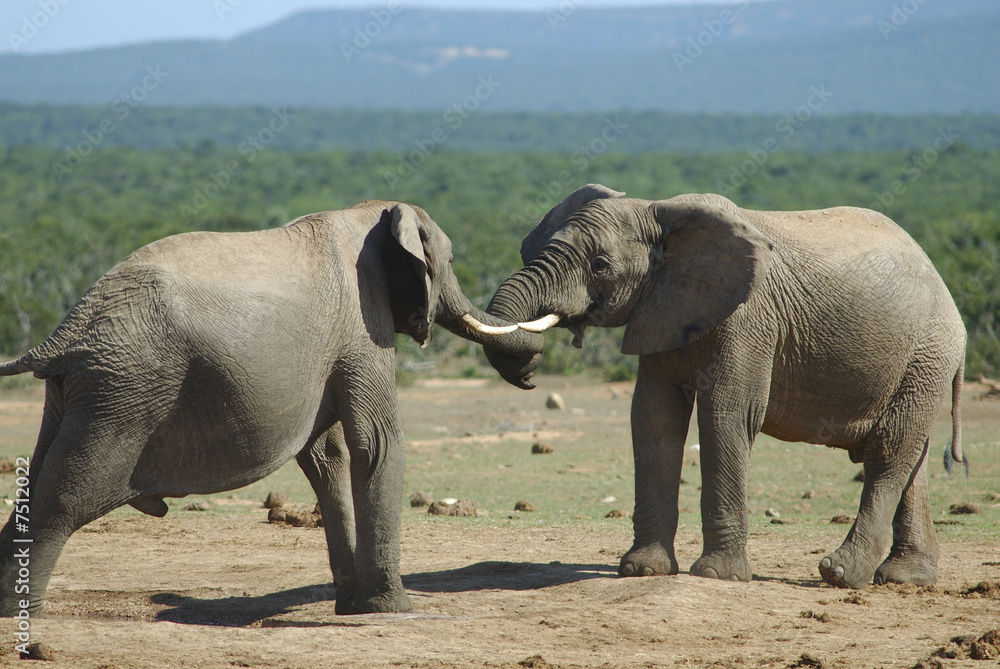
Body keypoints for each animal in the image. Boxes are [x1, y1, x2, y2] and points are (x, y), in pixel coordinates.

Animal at [0, 200, 544, 616]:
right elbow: (377, 442)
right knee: (64, 496)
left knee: (36, 481)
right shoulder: (363, 327)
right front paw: (394, 609)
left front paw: (353, 607)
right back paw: (26, 615)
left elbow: (326, 457)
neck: (371, 214)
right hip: (124, 388)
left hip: (79, 391)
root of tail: (66, 330)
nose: (530, 374)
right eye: (448, 261)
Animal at [483, 184, 966, 589]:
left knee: (889, 452)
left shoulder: (748, 318)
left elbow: (726, 415)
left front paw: (717, 576)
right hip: (919, 365)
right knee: (912, 457)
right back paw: (905, 579)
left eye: (600, 266)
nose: (529, 372)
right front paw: (643, 571)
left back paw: (839, 574)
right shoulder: (660, 308)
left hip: (927, 355)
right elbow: (654, 418)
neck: (658, 210)